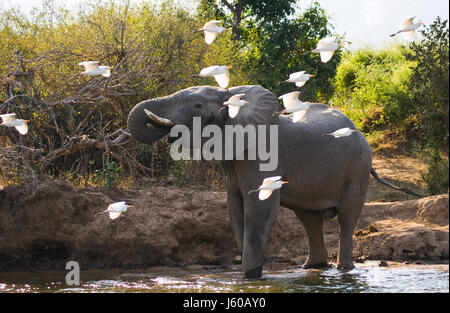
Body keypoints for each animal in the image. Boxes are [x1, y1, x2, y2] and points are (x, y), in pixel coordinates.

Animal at [127, 83, 422, 278]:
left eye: (197, 106)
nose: (168, 133)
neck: (233, 94)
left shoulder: (261, 156)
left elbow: (258, 209)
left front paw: (252, 276)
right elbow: (235, 210)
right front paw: (248, 273)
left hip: (358, 166)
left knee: (347, 218)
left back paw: (344, 269)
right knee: (309, 219)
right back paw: (311, 268)